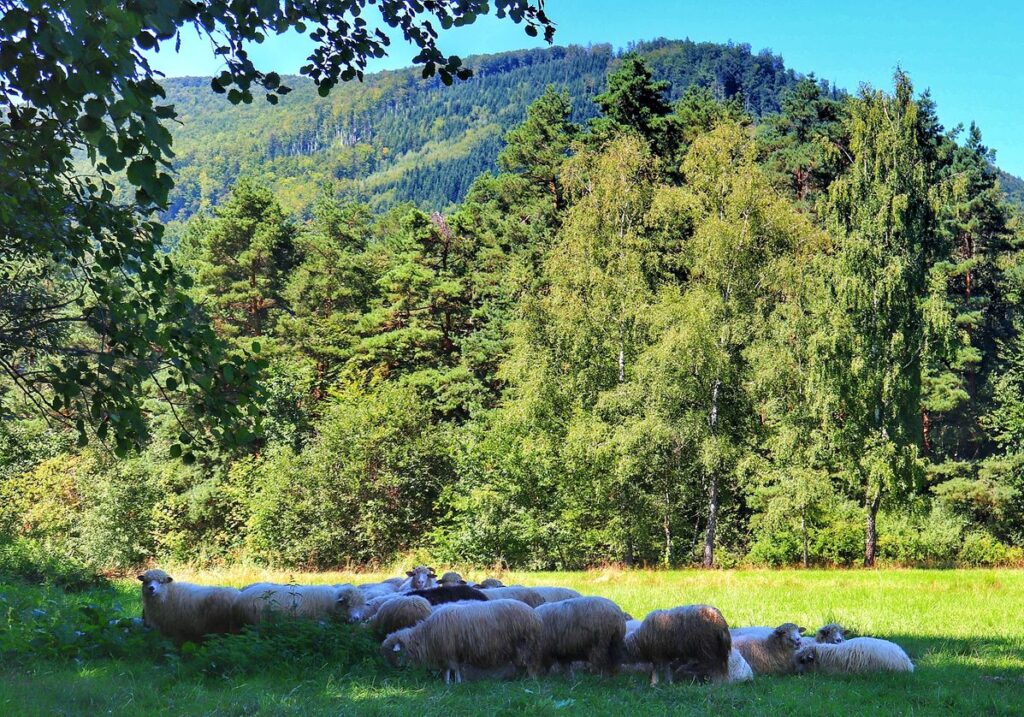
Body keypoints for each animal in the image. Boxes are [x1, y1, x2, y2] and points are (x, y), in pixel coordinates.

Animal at [380, 598, 544, 684]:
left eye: (394, 652)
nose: (394, 670)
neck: (426, 635)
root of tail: (534, 615)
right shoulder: (453, 652)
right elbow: (456, 669)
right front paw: (457, 683)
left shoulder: (448, 651)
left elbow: (450, 669)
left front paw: (449, 684)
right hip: (518, 648)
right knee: (521, 664)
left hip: (525, 644)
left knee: (530, 663)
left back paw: (530, 680)